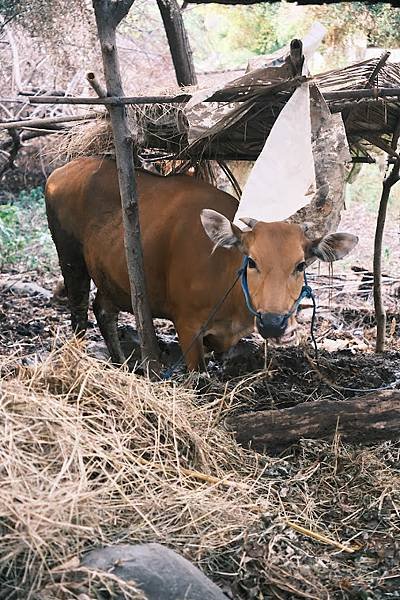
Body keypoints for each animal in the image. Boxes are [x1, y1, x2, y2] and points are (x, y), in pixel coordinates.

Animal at [45, 155, 358, 370]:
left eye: (300, 265)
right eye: (252, 261)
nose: (273, 322)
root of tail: (62, 171)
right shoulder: (187, 325)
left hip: (113, 279)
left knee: (102, 309)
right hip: (71, 260)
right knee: (78, 312)